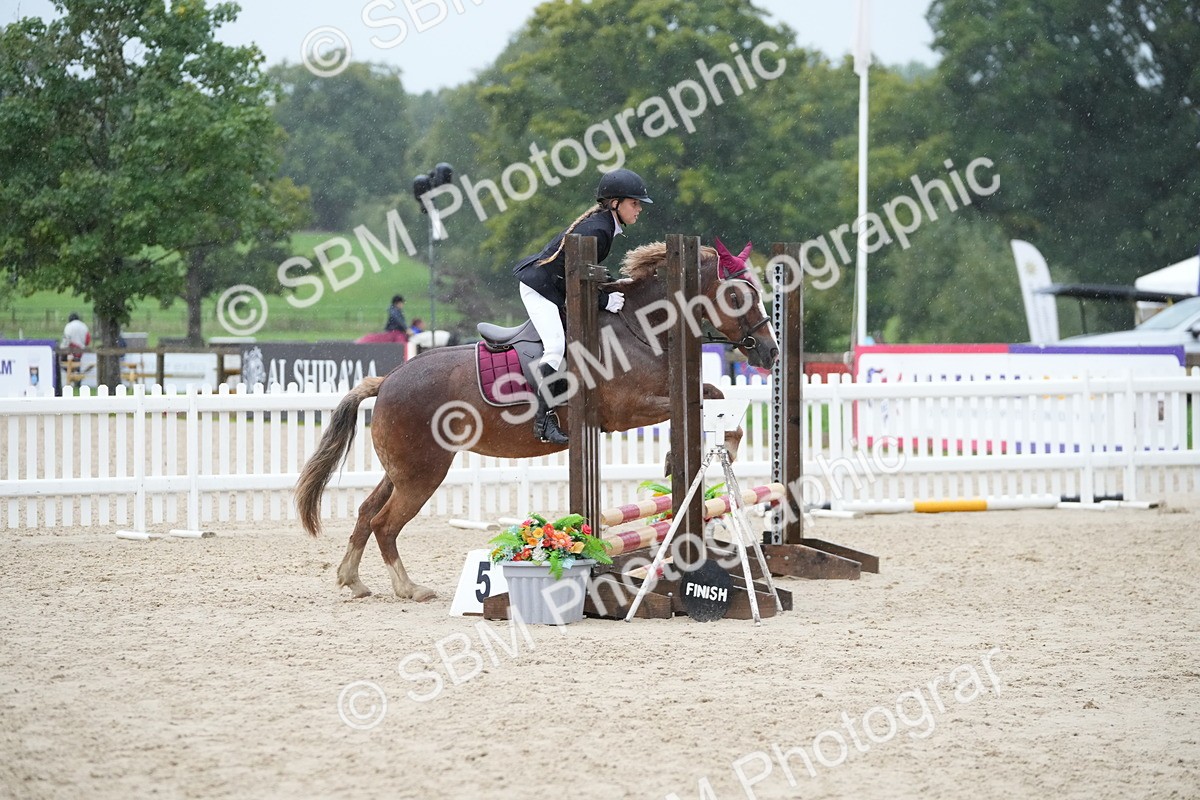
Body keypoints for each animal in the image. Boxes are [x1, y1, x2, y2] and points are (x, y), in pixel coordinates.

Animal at [295, 239, 780, 601]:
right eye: (736, 295)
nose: (770, 353)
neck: (637, 329)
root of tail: (388, 379)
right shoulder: (627, 410)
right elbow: (703, 401)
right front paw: (689, 456)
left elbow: (716, 396)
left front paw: (703, 451)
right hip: (423, 473)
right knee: (385, 524)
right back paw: (408, 588)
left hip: (403, 468)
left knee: (365, 513)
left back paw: (353, 580)